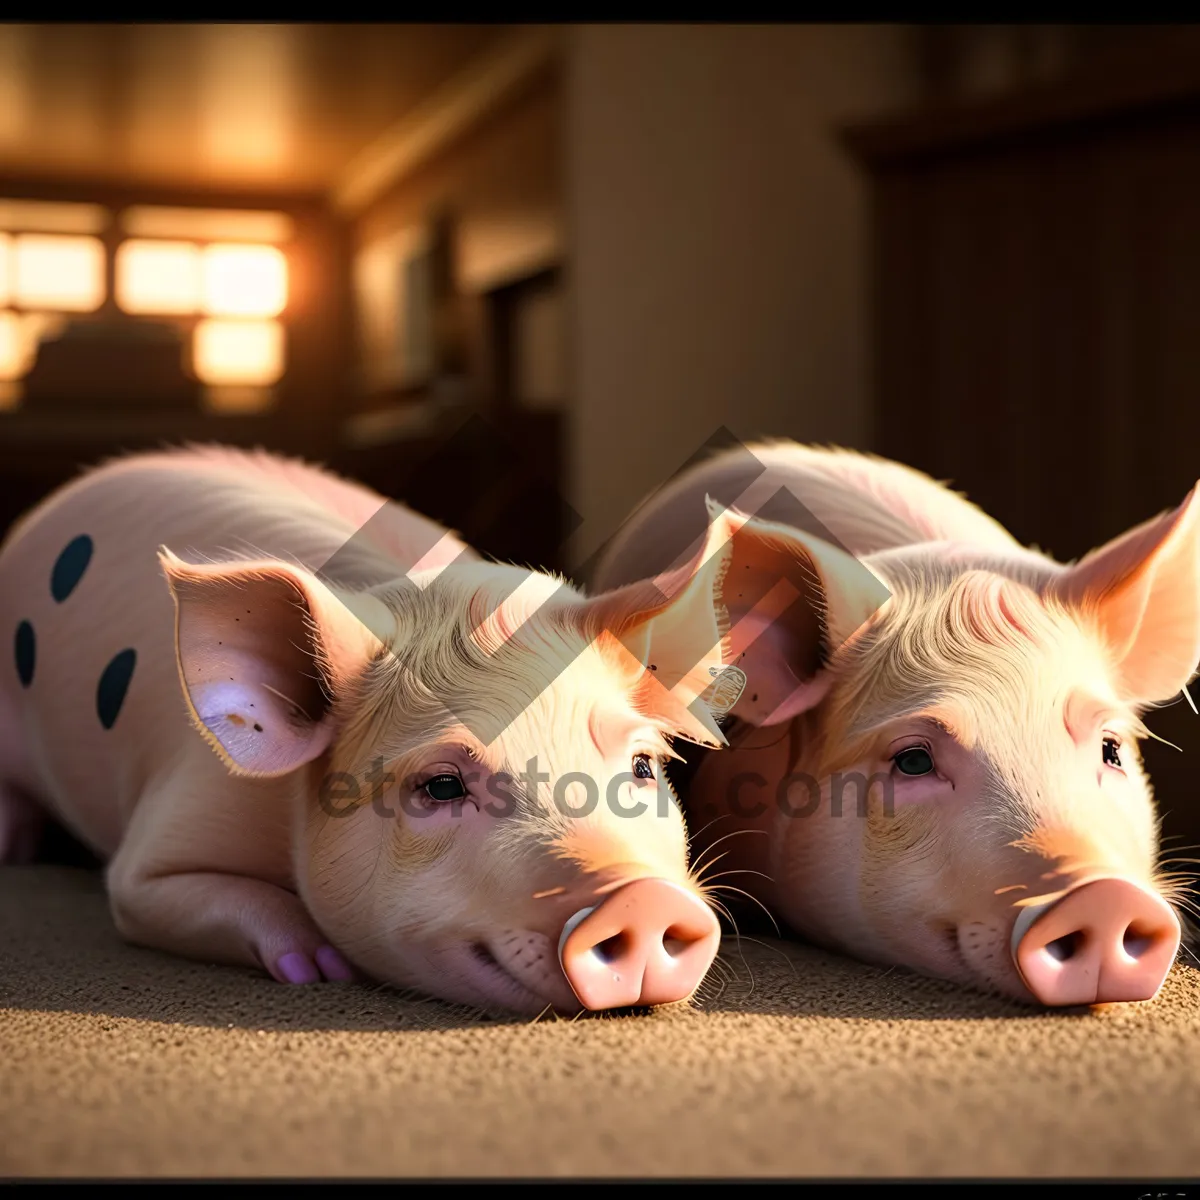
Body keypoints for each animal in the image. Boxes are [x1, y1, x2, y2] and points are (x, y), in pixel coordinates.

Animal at [0, 448, 758, 1012]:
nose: (643, 896)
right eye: (442, 784)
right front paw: (316, 967)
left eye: (642, 767)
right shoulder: (160, 842)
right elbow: (151, 892)